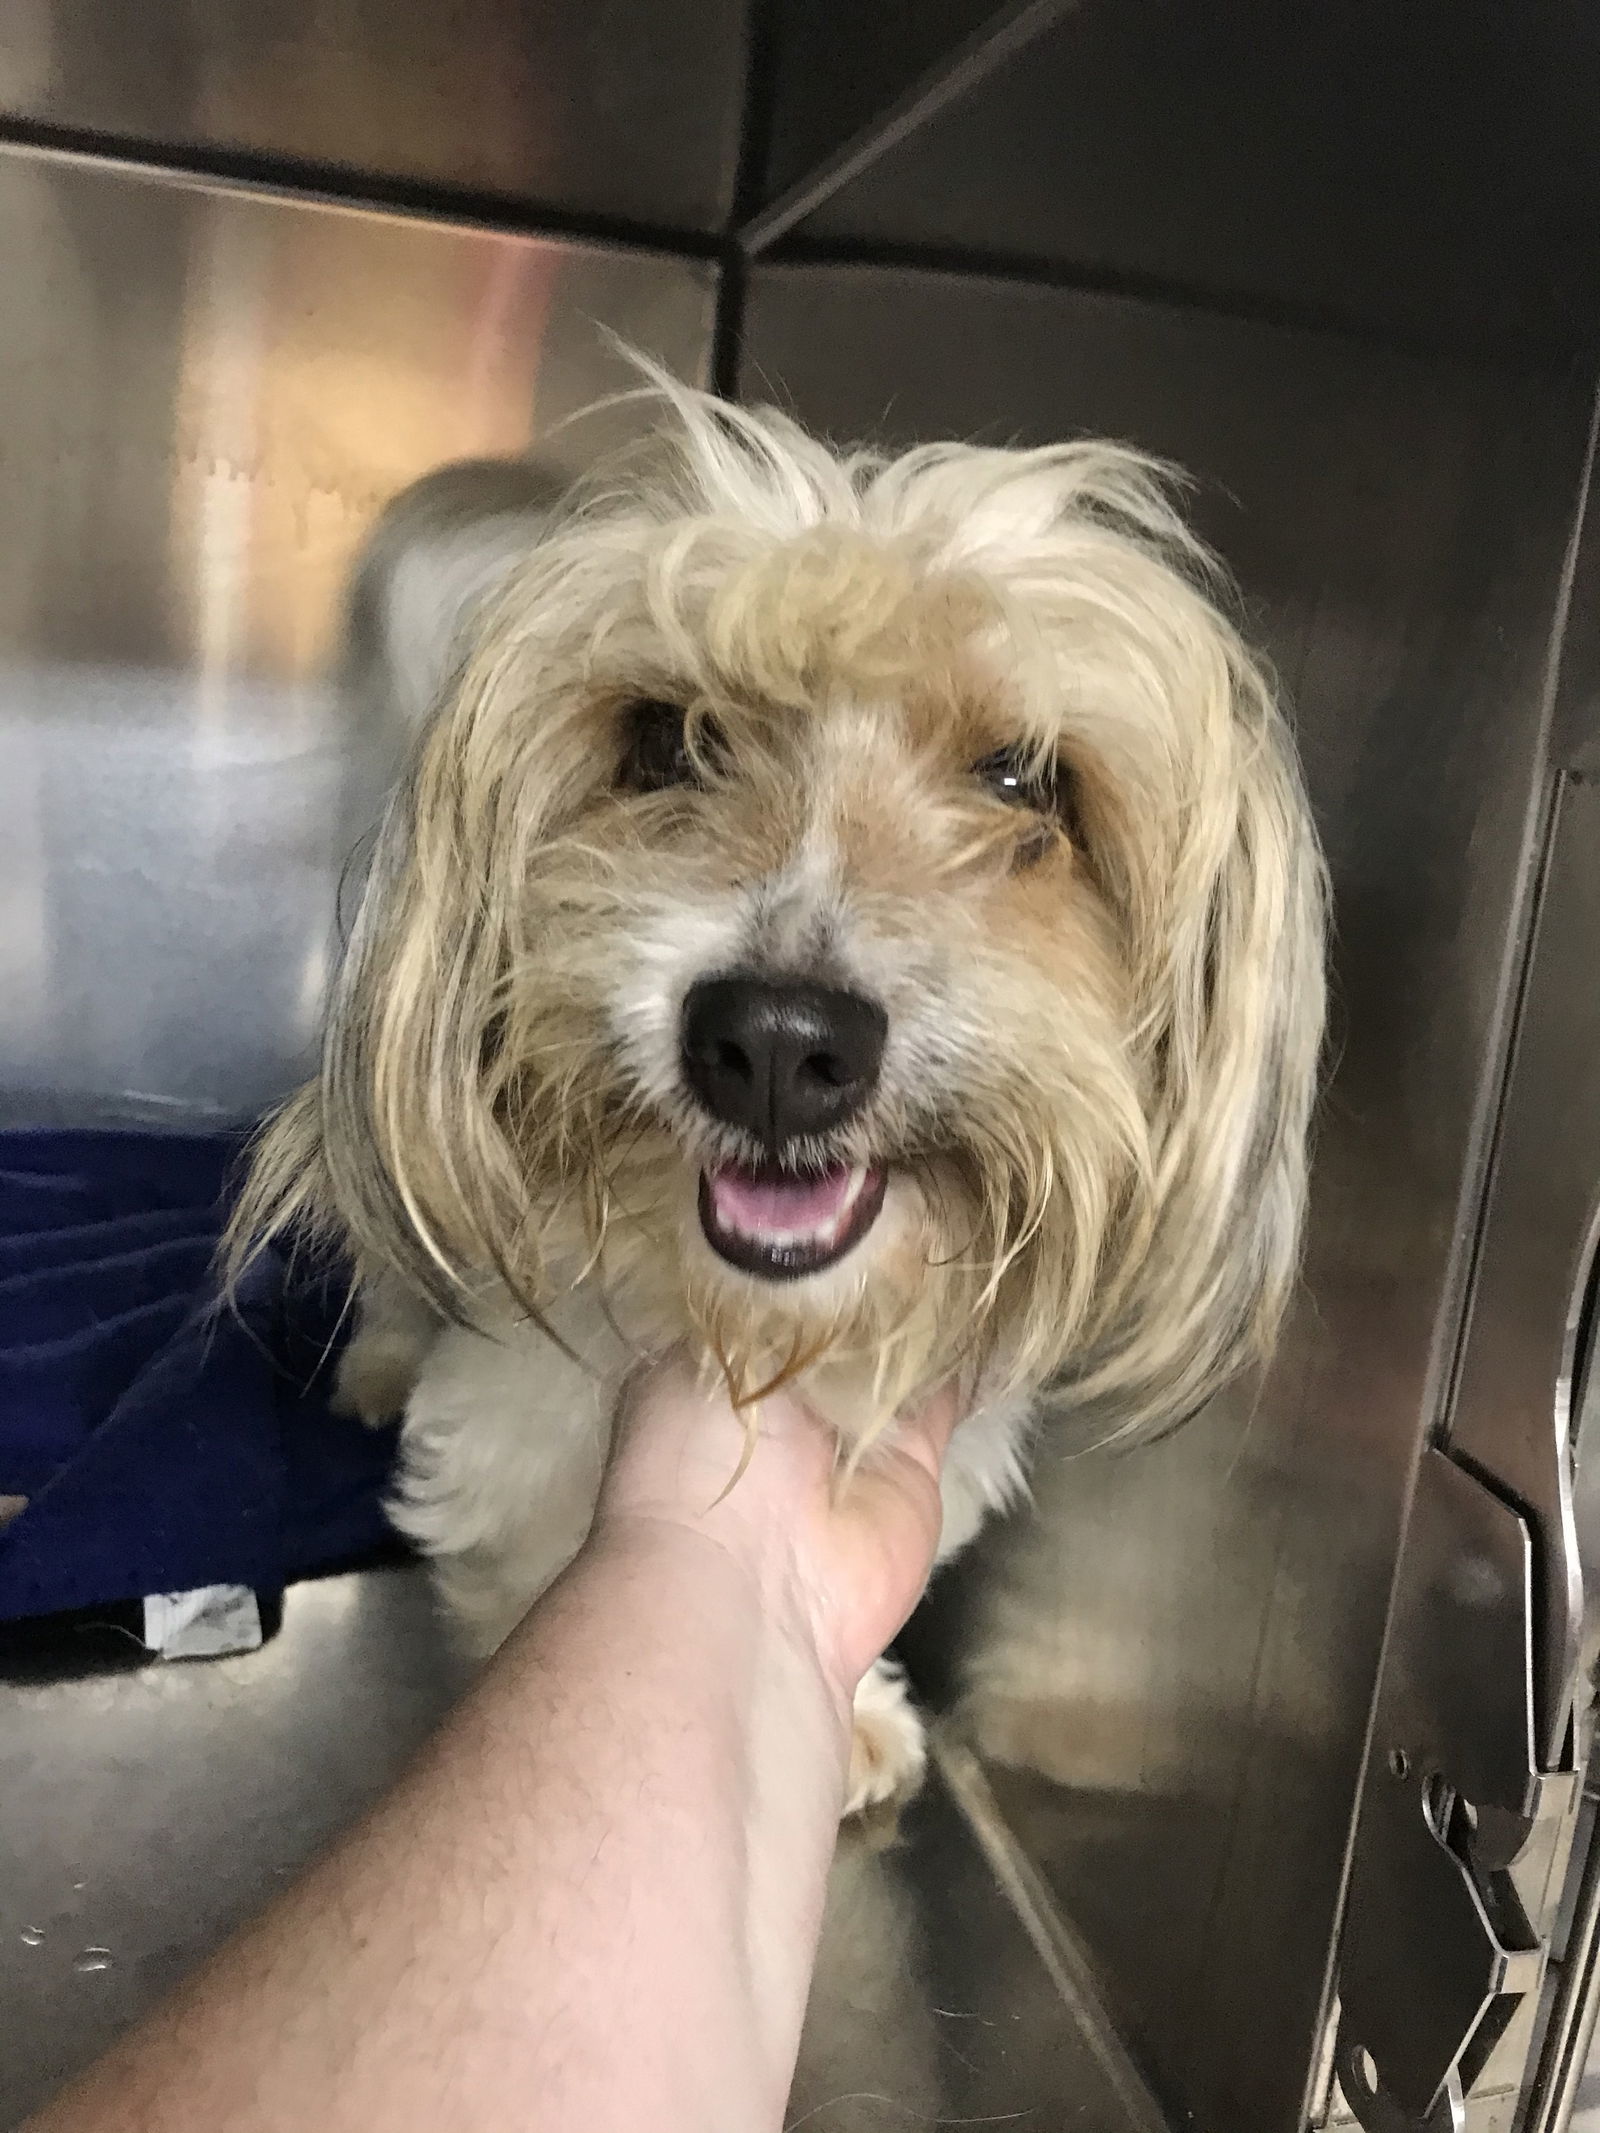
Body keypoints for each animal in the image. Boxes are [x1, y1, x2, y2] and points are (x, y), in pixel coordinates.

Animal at [228, 375, 1331, 1808]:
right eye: (664, 739)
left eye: (1024, 776)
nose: (773, 1042)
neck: (746, 1341)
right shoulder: (502, 1448)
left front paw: (844, 1711)